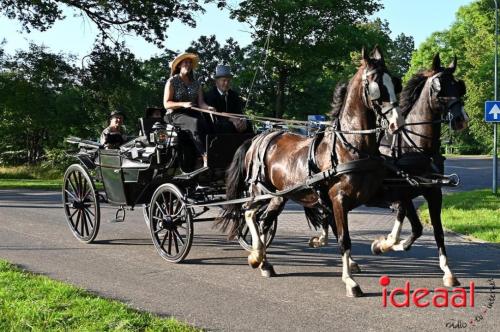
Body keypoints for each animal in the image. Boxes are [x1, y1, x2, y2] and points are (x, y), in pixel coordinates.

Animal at [215, 45, 402, 296]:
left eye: (395, 82)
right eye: (375, 85)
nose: (397, 122)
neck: (349, 146)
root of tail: (260, 137)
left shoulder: (370, 195)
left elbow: (398, 209)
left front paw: (382, 244)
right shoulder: (339, 199)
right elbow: (344, 238)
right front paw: (350, 280)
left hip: (278, 197)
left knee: (264, 221)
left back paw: (264, 262)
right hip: (259, 191)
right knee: (249, 214)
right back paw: (256, 256)